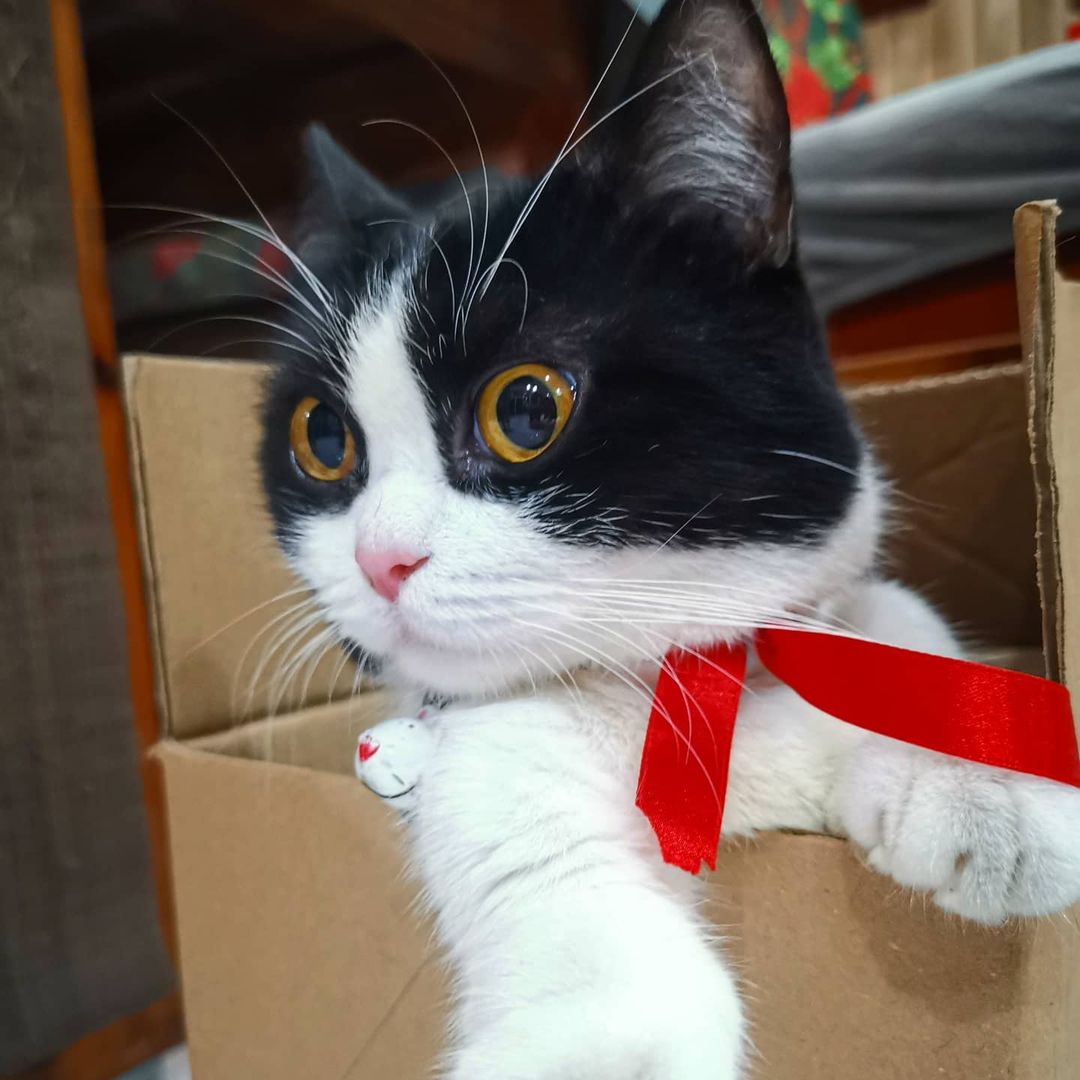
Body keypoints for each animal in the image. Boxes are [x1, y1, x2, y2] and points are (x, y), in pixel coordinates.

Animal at [258, 1, 1080, 1075]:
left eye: (526, 409)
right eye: (323, 438)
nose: (377, 560)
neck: (694, 688)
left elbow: (899, 625)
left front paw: (986, 777)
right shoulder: (496, 762)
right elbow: (623, 1000)